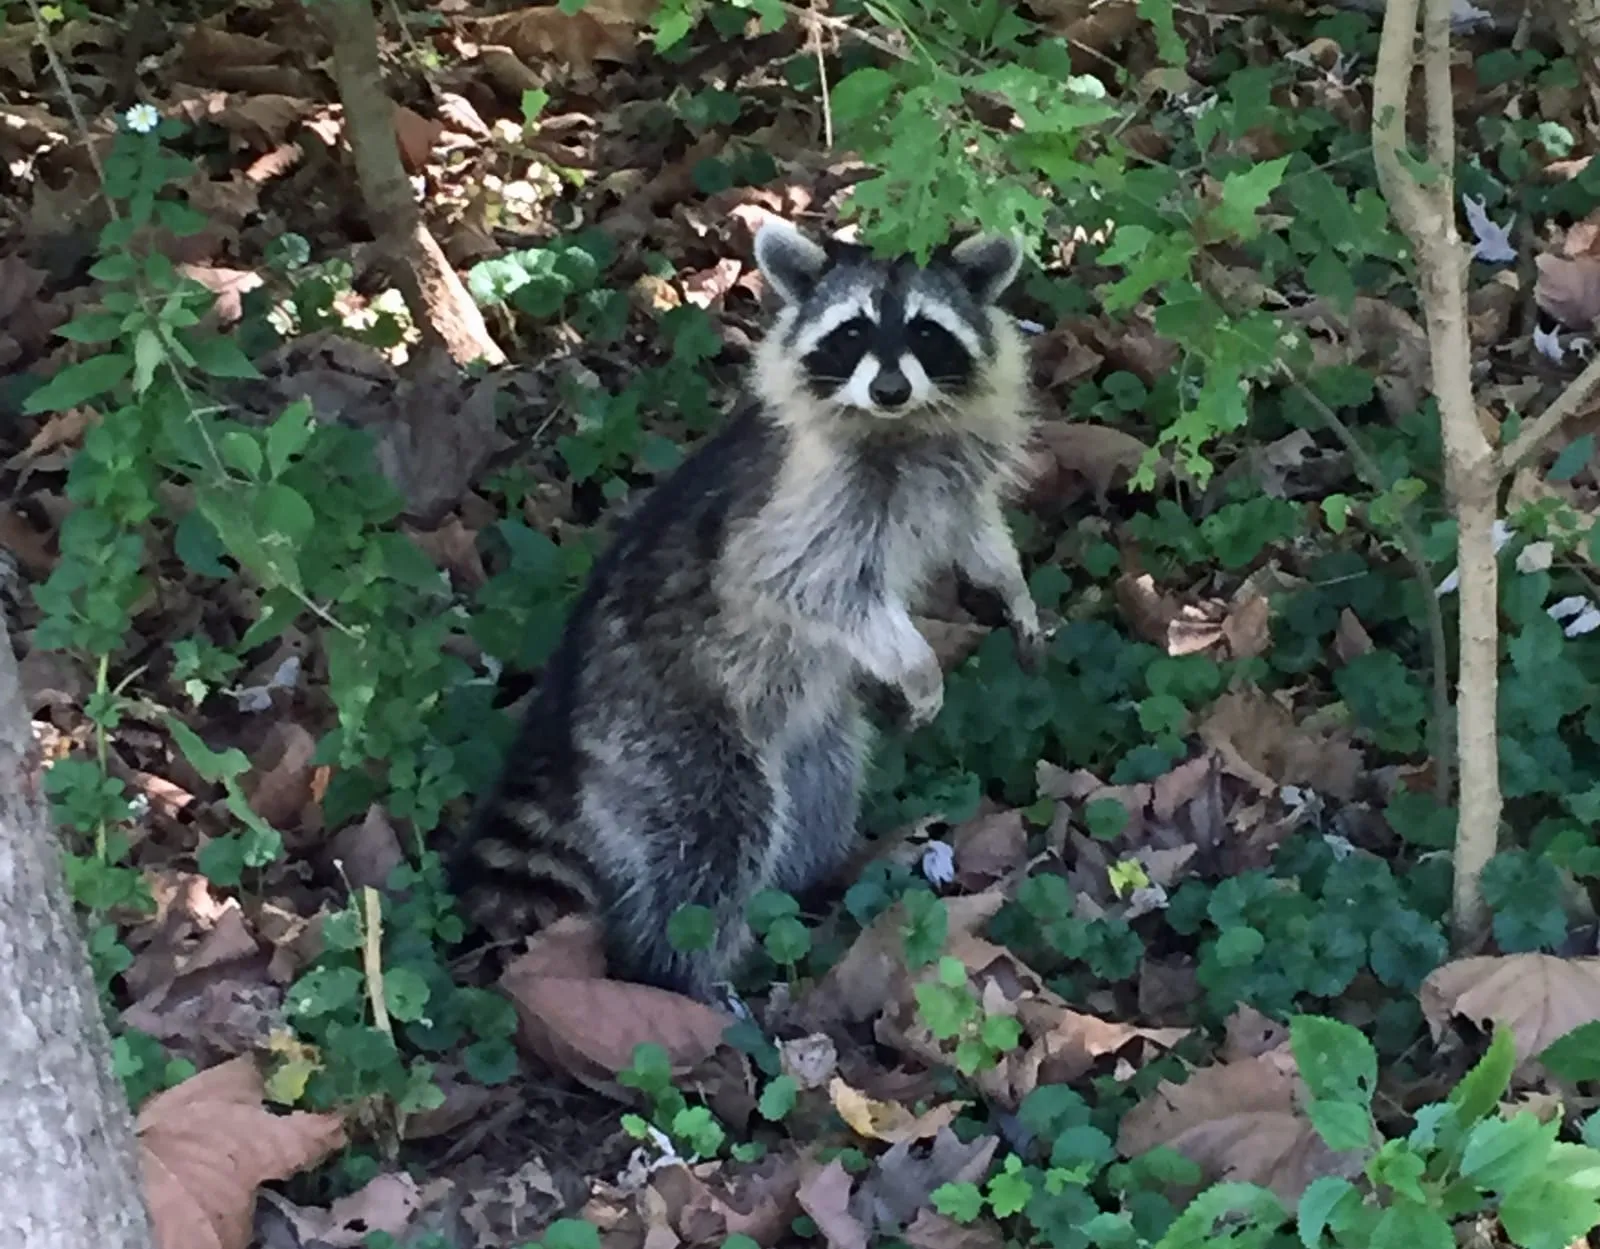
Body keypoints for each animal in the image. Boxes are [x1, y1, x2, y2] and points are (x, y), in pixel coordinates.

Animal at [449, 219, 1043, 1001]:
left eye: (925, 329)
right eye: (852, 332)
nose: (888, 389)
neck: (901, 427)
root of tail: (568, 700)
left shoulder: (955, 468)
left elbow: (976, 533)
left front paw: (1013, 587)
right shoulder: (797, 509)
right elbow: (814, 587)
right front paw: (916, 664)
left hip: (806, 727)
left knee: (822, 785)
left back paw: (821, 877)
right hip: (667, 726)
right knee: (713, 836)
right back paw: (682, 974)